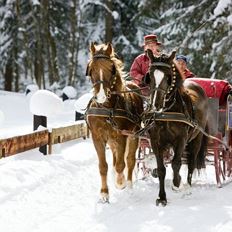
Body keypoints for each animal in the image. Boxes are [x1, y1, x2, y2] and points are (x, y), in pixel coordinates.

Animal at [85, 42, 143, 202]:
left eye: (111, 69)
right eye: (91, 69)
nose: (101, 96)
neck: (107, 109)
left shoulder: (121, 135)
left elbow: (121, 164)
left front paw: (120, 182)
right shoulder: (97, 137)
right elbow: (103, 166)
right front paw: (104, 193)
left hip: (133, 134)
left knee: (130, 160)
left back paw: (128, 185)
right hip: (111, 141)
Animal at [144, 49, 208, 207]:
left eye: (168, 77)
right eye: (150, 75)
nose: (156, 104)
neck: (166, 112)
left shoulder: (181, 139)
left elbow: (176, 163)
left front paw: (177, 183)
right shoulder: (156, 141)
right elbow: (161, 169)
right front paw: (162, 197)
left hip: (196, 138)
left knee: (191, 162)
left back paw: (188, 187)